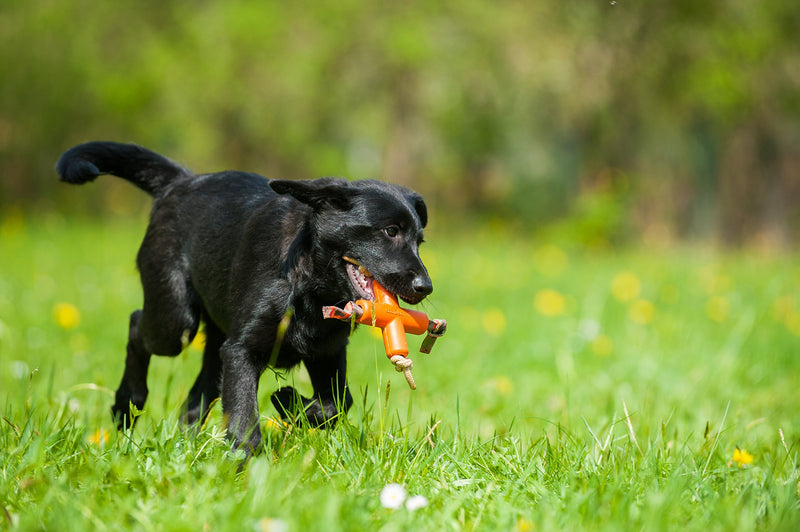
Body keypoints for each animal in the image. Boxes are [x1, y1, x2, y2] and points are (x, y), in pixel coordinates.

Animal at [57, 141, 432, 454]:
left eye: (420, 241)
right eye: (390, 231)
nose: (425, 287)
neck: (308, 284)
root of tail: (182, 182)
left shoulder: (327, 351)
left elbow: (336, 404)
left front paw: (288, 401)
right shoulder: (242, 350)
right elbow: (244, 416)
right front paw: (243, 465)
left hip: (215, 341)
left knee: (195, 399)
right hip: (175, 319)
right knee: (137, 325)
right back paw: (127, 403)